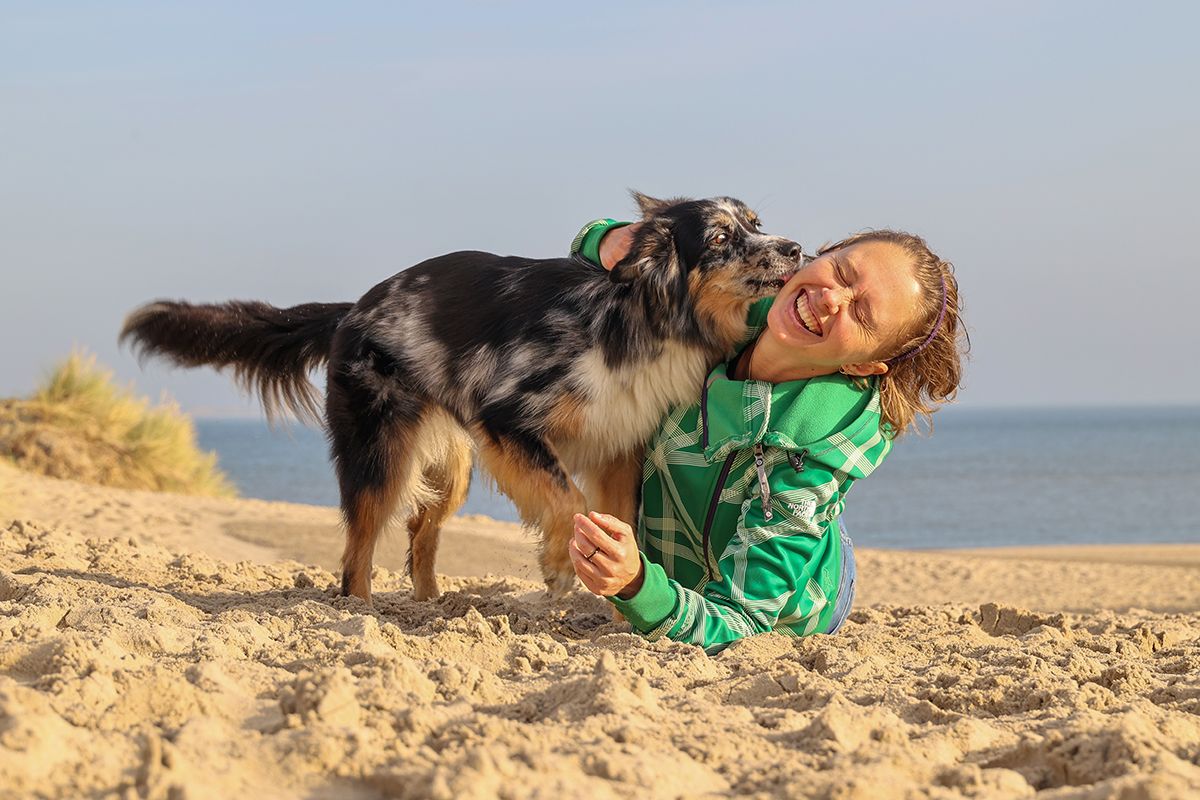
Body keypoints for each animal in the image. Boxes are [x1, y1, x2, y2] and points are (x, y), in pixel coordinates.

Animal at [121, 195, 801, 606]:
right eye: (721, 237)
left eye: (757, 223)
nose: (795, 248)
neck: (639, 316)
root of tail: (353, 307)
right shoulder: (511, 419)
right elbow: (567, 499)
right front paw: (559, 566)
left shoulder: (617, 446)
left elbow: (618, 525)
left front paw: (619, 604)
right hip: (382, 455)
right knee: (358, 548)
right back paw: (360, 614)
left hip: (453, 464)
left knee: (421, 532)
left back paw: (428, 604)